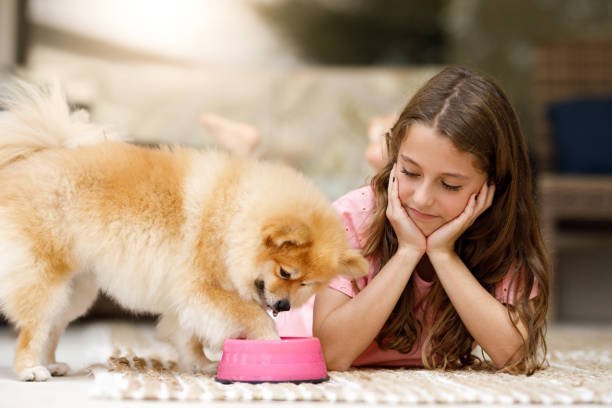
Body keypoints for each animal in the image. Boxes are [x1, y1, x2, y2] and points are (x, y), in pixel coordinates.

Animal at [0, 81, 366, 380]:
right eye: (285, 272)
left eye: (306, 285)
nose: (286, 306)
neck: (233, 217)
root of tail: (34, 159)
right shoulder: (200, 289)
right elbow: (250, 314)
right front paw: (270, 341)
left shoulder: (187, 299)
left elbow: (188, 334)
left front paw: (200, 363)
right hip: (46, 278)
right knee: (34, 327)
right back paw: (30, 369)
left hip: (76, 289)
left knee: (54, 326)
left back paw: (51, 364)